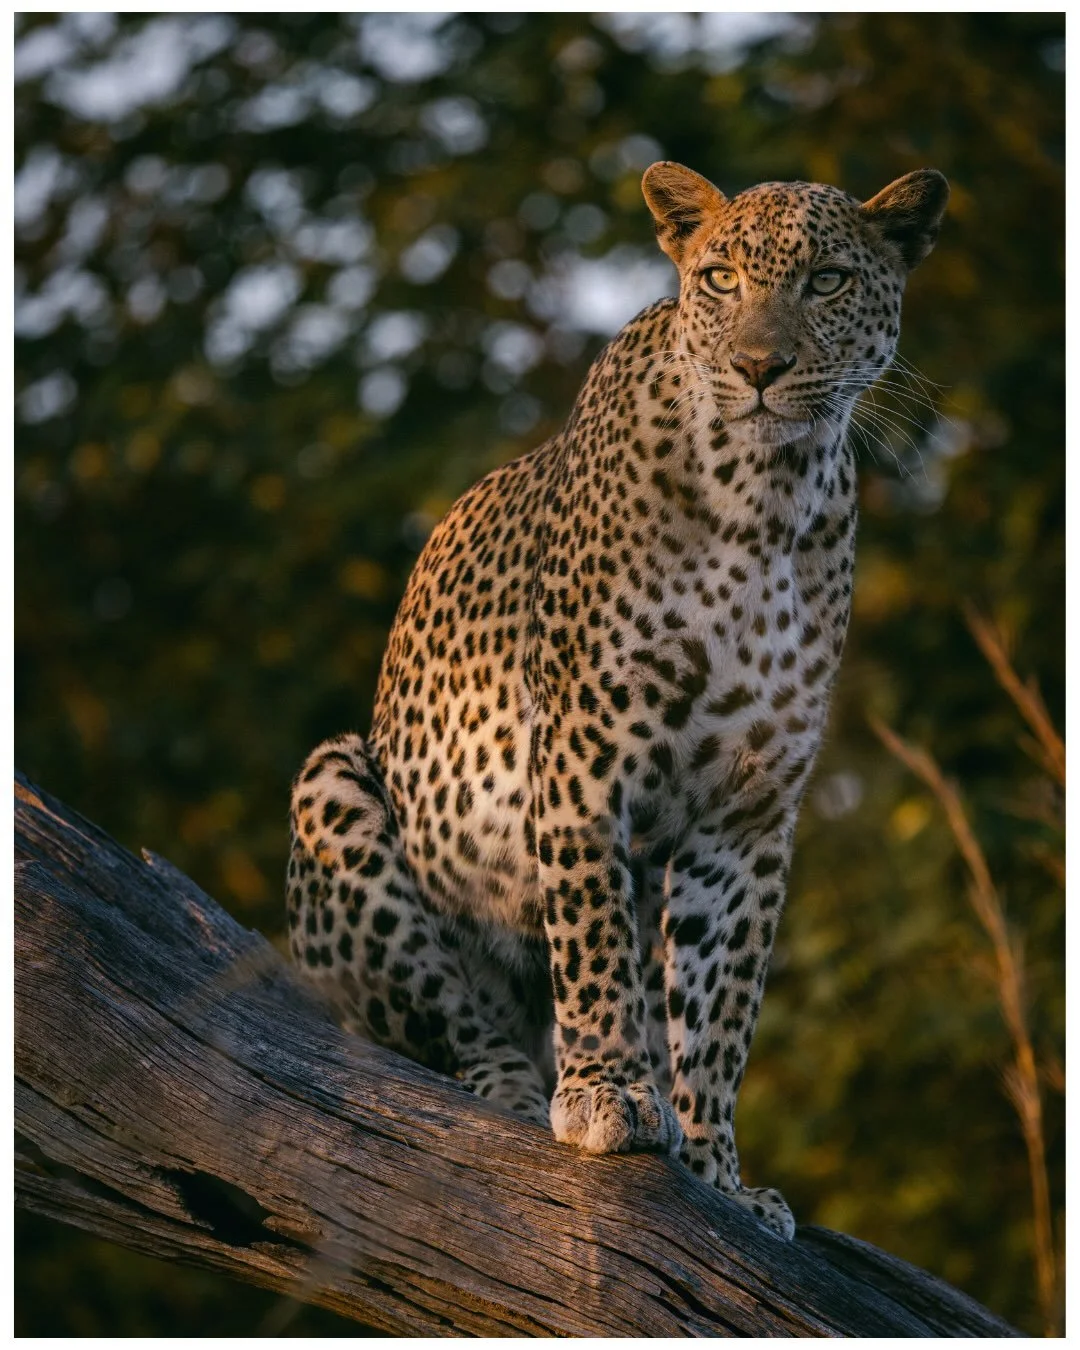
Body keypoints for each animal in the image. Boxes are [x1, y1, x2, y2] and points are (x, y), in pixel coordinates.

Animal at [286, 160, 949, 1239]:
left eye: (828, 282)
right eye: (720, 278)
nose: (760, 367)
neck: (768, 496)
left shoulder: (750, 809)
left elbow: (723, 998)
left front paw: (719, 1169)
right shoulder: (585, 752)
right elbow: (594, 933)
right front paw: (609, 1095)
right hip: (335, 787)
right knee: (450, 1030)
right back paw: (519, 1091)